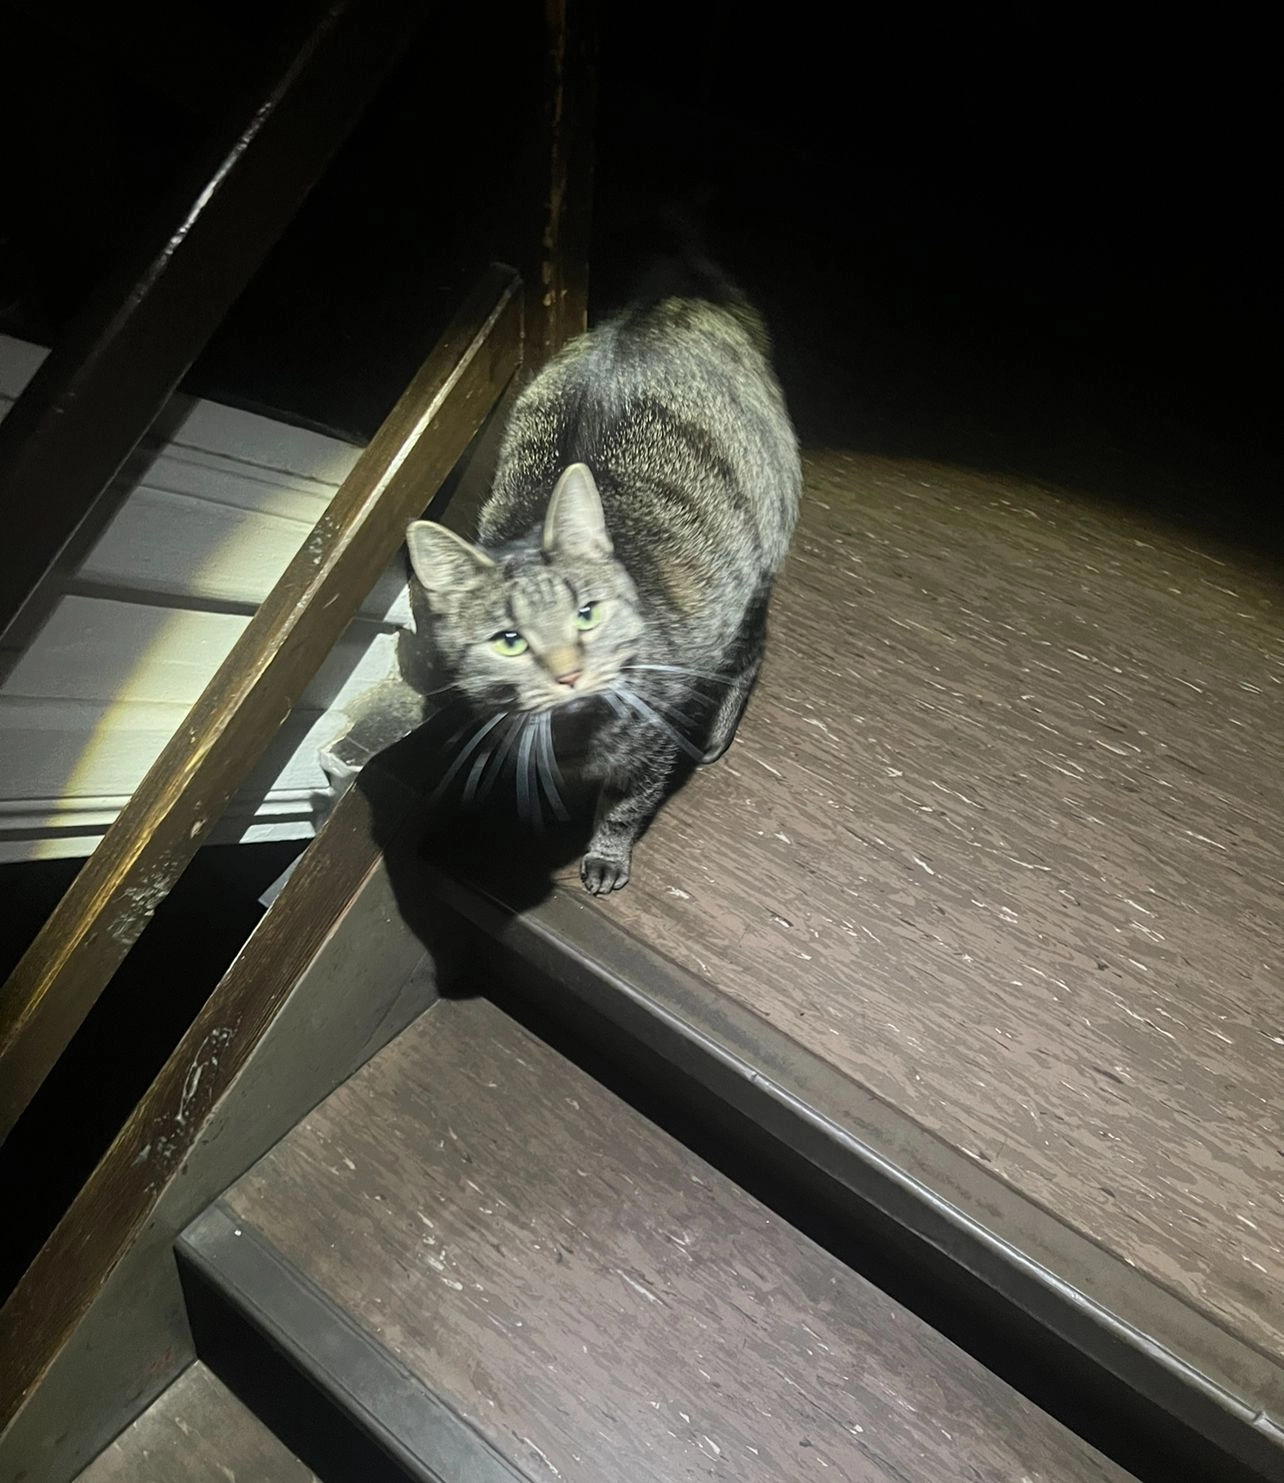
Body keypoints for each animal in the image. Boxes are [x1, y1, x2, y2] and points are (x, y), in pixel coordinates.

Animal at [404, 252, 800, 894]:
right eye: (510, 640)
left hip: (755, 572)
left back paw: (717, 730)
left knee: (751, 652)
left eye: (586, 614)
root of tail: (672, 293)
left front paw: (606, 851)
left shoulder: (652, 741)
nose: (569, 673)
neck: (570, 731)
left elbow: (626, 804)